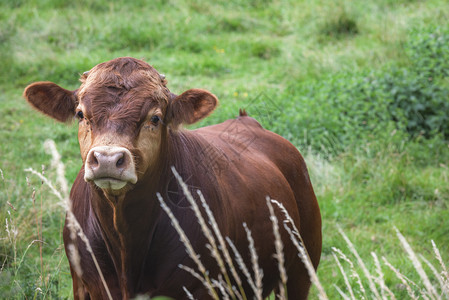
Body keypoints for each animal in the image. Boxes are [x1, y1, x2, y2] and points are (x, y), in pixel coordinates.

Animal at [23, 56, 318, 300]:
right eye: (80, 114)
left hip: (301, 267)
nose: (107, 159)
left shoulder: (205, 288)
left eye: (155, 118)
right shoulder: (83, 285)